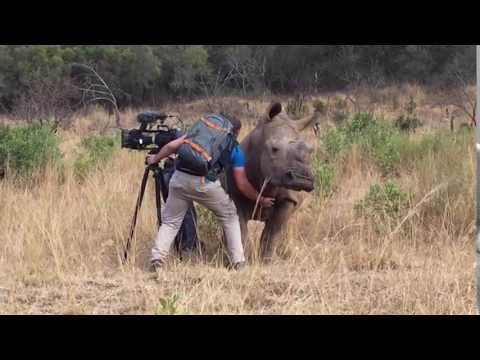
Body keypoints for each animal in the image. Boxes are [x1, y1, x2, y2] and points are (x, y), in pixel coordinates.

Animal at [225, 101, 318, 262]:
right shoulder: (234, 195)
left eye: (310, 151)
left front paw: (267, 261)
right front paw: (246, 258)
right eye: (274, 149)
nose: (303, 180)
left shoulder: (289, 198)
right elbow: (241, 229)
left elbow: (273, 231)